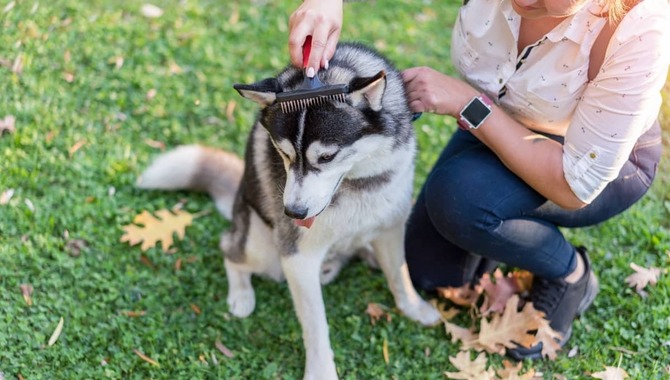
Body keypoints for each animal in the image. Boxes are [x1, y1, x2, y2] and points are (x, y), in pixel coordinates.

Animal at [138, 43, 440, 378]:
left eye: (327, 157)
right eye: (283, 153)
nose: (293, 213)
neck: (357, 184)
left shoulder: (391, 226)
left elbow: (400, 275)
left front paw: (415, 308)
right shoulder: (297, 256)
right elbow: (315, 325)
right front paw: (321, 372)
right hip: (260, 245)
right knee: (229, 249)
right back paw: (241, 294)